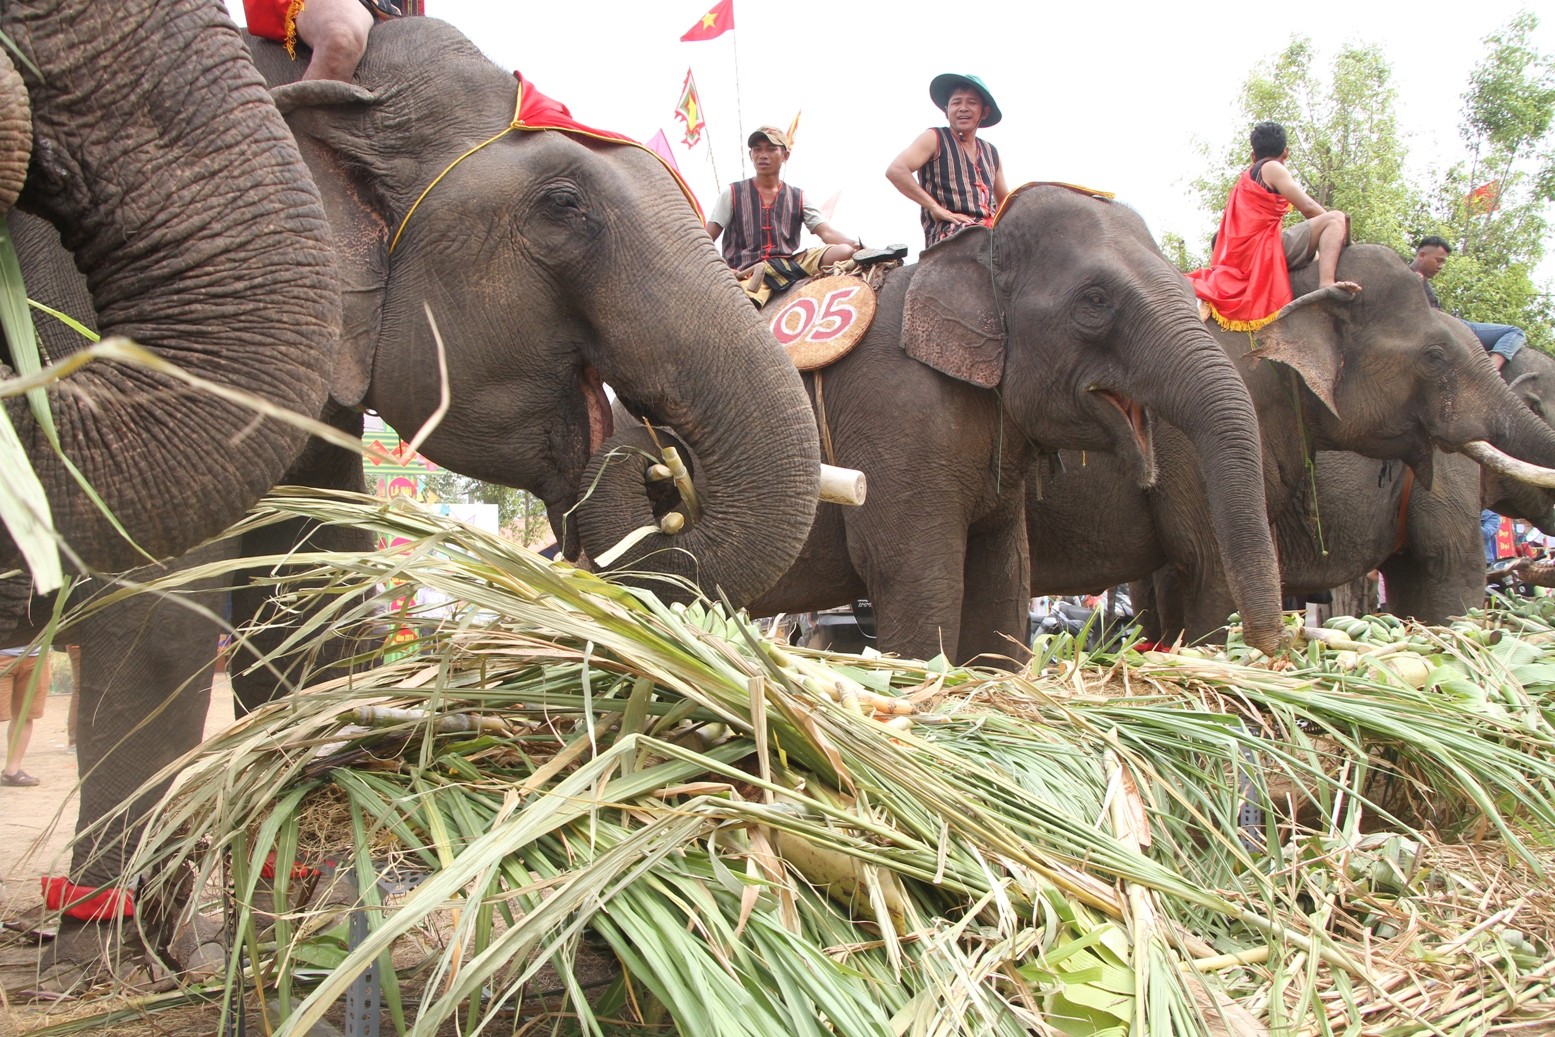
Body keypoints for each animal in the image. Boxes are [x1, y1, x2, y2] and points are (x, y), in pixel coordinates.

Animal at [9, 16, 827, 988]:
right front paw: (121, 963)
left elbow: (313, 602)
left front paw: (287, 930)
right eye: (563, 207)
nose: (658, 468)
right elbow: (152, 605)